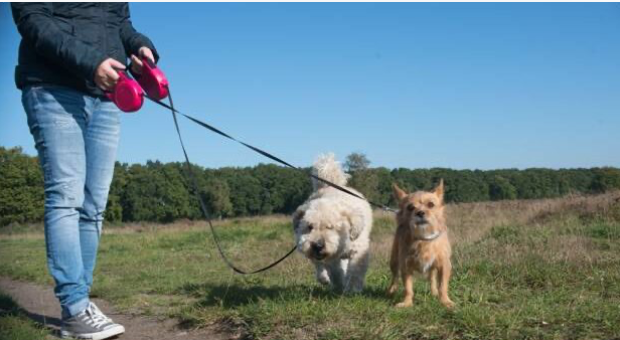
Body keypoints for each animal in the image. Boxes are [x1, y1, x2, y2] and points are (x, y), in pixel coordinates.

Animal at [292, 154, 372, 292]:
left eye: (330, 227)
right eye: (309, 227)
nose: (318, 245)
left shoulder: (359, 250)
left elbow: (355, 272)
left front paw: (352, 289)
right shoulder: (330, 257)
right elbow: (335, 271)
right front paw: (340, 285)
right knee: (319, 265)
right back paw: (324, 278)